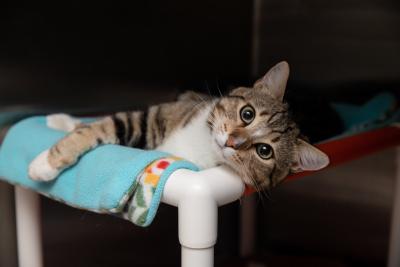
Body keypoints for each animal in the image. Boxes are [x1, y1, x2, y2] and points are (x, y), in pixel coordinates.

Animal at [27, 61, 328, 191]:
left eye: (264, 151)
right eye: (247, 114)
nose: (232, 141)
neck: (204, 141)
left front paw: (43, 165)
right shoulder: (155, 117)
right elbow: (102, 126)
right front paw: (62, 127)